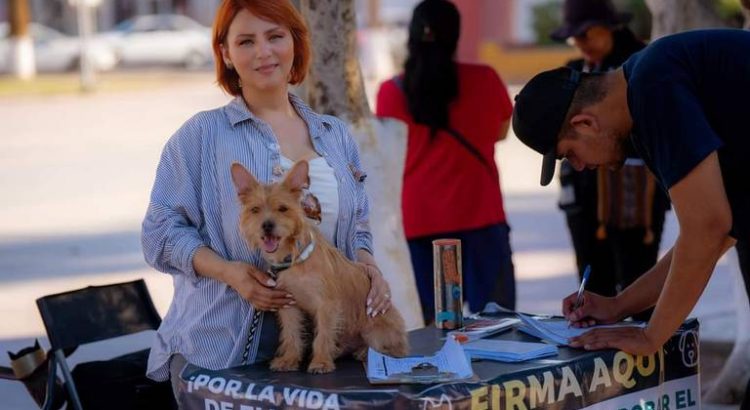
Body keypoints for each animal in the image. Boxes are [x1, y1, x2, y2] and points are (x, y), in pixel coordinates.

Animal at [232, 161, 408, 374]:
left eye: (283, 208)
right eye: (255, 209)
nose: (266, 225)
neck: (295, 259)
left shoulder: (327, 305)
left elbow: (322, 335)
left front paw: (321, 362)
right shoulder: (288, 306)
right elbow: (291, 334)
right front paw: (289, 359)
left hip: (375, 333)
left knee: (392, 351)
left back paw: (365, 352)